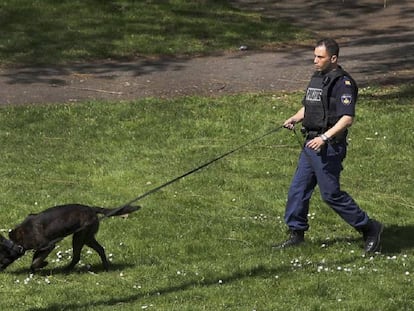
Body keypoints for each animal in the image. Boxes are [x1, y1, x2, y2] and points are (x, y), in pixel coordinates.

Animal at [0, 204, 140, 272]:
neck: (15, 243)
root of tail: (92, 209)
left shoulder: (48, 246)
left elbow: (35, 262)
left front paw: (43, 264)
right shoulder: (42, 249)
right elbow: (35, 259)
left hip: (79, 237)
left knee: (77, 256)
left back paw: (66, 270)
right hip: (87, 238)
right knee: (100, 249)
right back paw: (105, 267)